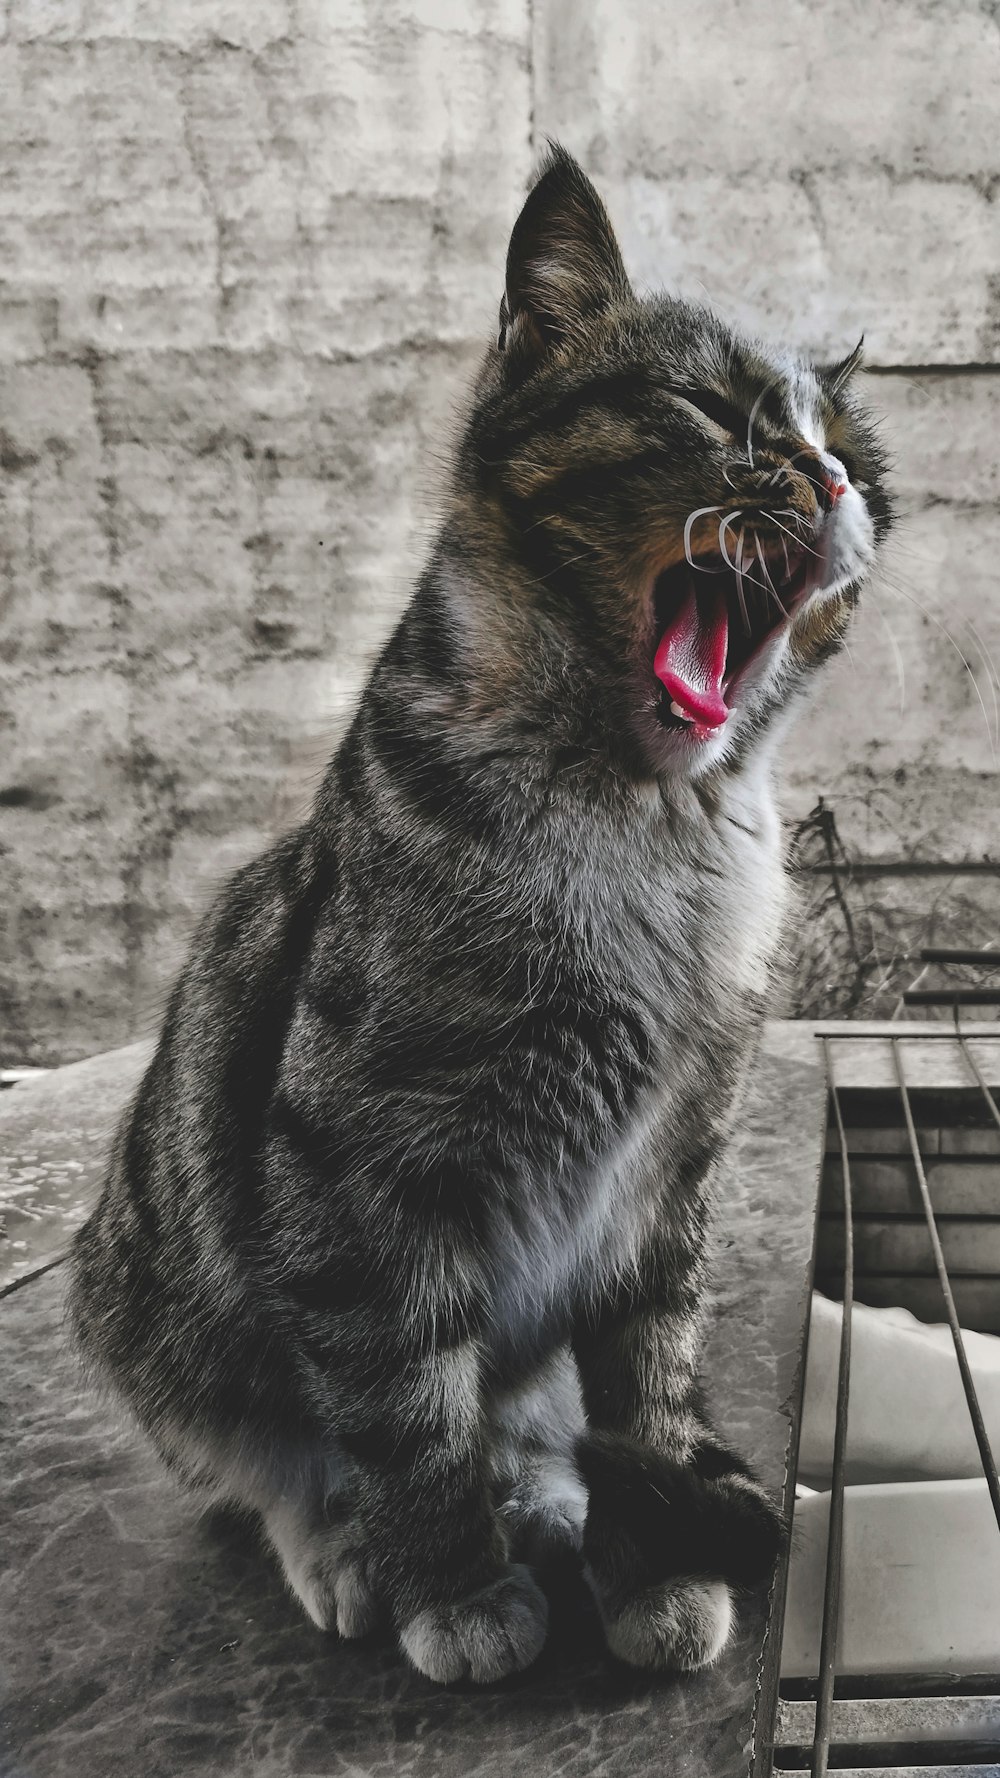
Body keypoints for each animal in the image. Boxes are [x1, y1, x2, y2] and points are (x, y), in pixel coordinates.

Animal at [73, 149, 889, 1678]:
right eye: (712, 410)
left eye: (856, 462)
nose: (822, 475)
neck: (650, 827)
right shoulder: (357, 1167)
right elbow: (403, 1403)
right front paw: (451, 1579)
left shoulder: (666, 1177)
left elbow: (646, 1382)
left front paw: (650, 1553)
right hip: (155, 1310)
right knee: (277, 1457)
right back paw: (353, 1548)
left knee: (524, 1417)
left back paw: (553, 1492)